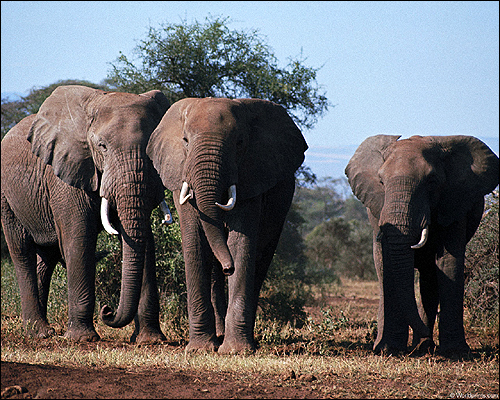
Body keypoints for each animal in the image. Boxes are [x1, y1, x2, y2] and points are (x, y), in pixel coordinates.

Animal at [0, 85, 172, 344]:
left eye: (151, 148)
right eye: (102, 146)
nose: (107, 310)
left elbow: (145, 241)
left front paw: (150, 341)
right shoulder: (66, 175)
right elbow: (79, 239)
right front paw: (82, 338)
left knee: (46, 259)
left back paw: (45, 331)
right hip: (7, 198)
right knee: (22, 252)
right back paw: (39, 333)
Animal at [146, 97, 306, 354]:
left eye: (239, 143)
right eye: (185, 141)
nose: (228, 268)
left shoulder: (251, 176)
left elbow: (240, 243)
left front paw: (236, 351)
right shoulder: (180, 172)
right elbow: (196, 241)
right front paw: (199, 349)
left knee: (260, 257)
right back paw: (219, 334)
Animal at [346, 135, 498, 356]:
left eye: (431, 182)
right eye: (381, 181)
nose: (425, 331)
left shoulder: (453, 203)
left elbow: (449, 263)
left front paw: (455, 352)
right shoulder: (378, 208)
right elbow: (385, 262)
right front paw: (389, 349)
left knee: (430, 278)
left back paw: (424, 346)